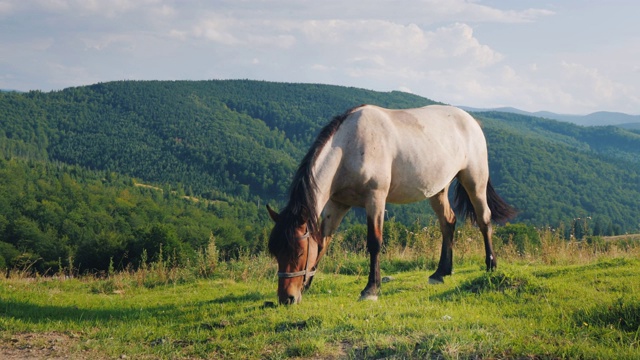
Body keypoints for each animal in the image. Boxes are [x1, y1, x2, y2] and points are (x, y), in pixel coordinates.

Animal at [268, 103, 516, 304]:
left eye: (298, 252)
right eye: (276, 252)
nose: (286, 298)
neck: (349, 146)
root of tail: (472, 121)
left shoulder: (375, 198)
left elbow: (374, 242)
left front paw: (371, 289)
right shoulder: (337, 204)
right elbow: (322, 242)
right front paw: (308, 284)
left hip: (475, 180)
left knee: (484, 219)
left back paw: (491, 265)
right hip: (438, 190)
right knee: (448, 222)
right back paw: (440, 273)